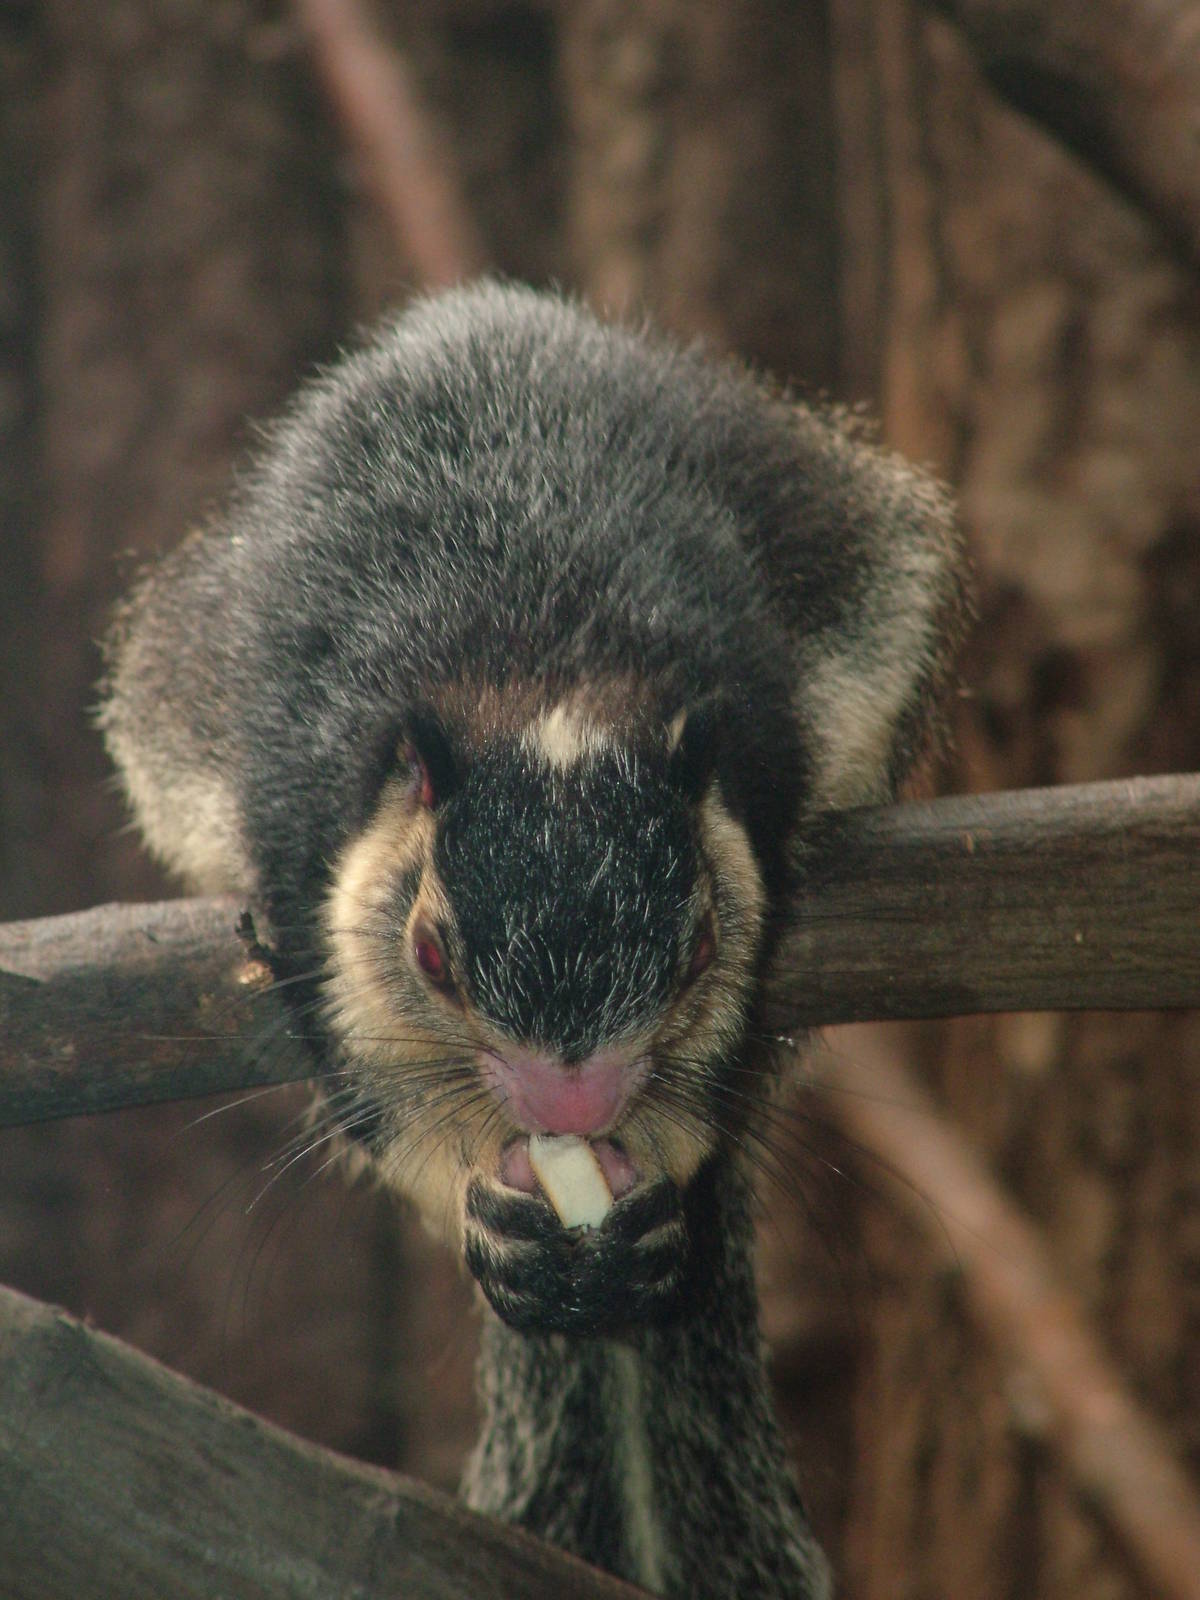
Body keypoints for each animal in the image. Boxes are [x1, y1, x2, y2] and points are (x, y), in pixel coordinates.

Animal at [101, 281, 968, 1598]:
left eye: (697, 950)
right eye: (431, 957)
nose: (574, 1110)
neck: (541, 671)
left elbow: (728, 1068)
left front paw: (646, 1194)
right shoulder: (304, 857)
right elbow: (368, 1091)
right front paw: (492, 1217)